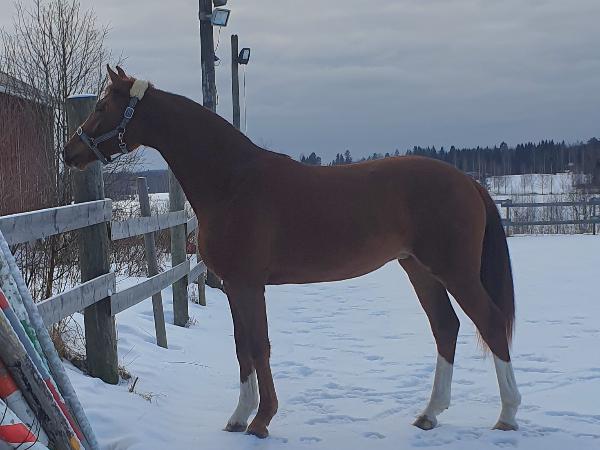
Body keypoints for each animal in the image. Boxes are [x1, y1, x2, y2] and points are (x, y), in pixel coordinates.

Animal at [63, 66, 521, 439]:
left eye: (102, 105)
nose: (70, 152)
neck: (232, 181)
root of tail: (468, 181)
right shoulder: (234, 285)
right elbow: (241, 346)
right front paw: (239, 417)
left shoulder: (249, 284)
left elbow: (259, 345)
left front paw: (261, 420)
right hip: (420, 269)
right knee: (446, 327)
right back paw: (430, 414)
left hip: (454, 270)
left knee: (490, 322)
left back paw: (507, 415)